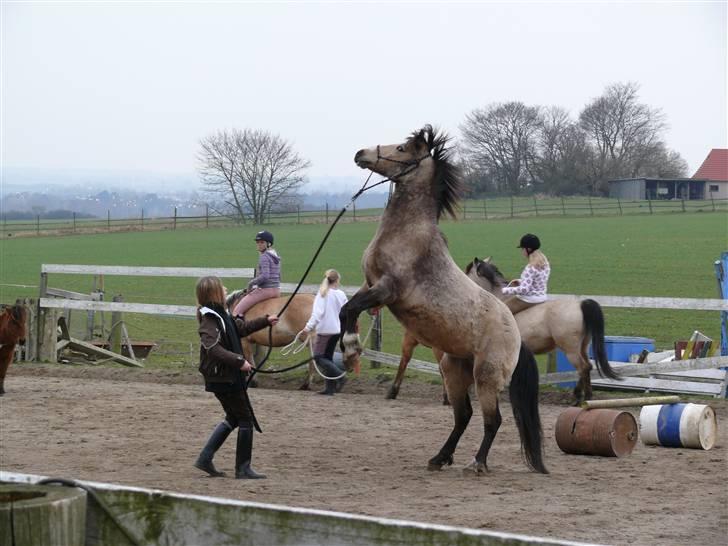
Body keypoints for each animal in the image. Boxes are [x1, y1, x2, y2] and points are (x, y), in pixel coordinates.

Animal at [341, 125, 547, 475]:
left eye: (401, 148)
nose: (360, 154)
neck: (407, 233)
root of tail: (518, 338)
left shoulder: (386, 288)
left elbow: (348, 309)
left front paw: (351, 347)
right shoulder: (371, 286)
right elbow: (347, 310)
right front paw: (348, 348)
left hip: (485, 376)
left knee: (492, 420)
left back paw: (477, 462)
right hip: (453, 370)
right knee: (463, 416)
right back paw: (440, 457)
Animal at [465, 257, 619, 404]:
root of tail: (581, 304)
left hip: (571, 350)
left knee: (583, 368)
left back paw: (581, 398)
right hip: (583, 347)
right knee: (588, 366)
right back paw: (583, 396)